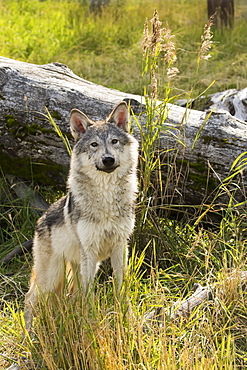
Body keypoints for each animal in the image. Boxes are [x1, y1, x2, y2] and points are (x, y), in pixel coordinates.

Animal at [23, 100, 138, 330]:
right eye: (94, 144)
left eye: (114, 141)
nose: (108, 159)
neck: (106, 198)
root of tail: (40, 220)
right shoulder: (90, 251)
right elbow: (89, 293)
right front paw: (91, 323)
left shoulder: (120, 246)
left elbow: (120, 288)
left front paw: (125, 319)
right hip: (52, 276)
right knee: (29, 299)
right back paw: (29, 334)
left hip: (76, 269)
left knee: (68, 295)